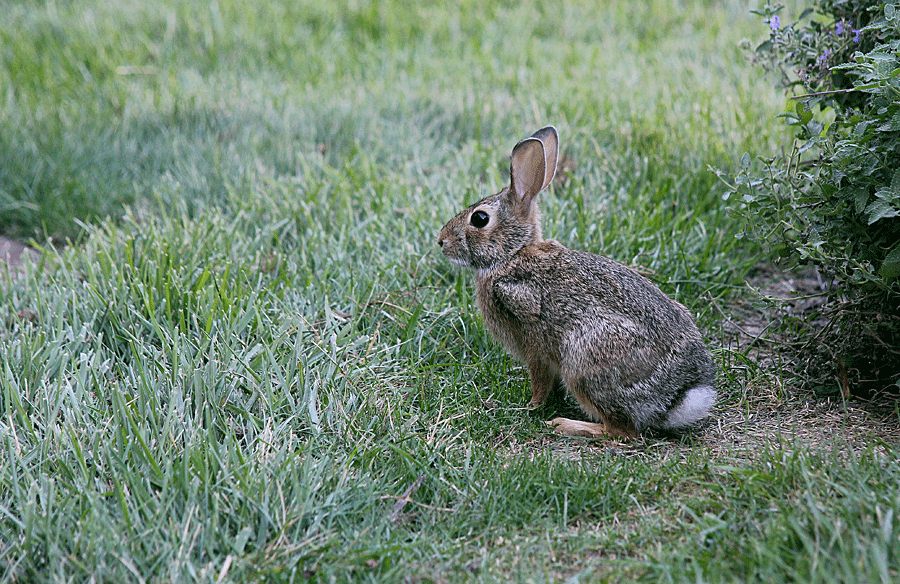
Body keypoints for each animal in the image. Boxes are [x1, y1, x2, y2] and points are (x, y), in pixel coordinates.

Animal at [437, 126, 717, 439]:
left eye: (480, 218)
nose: (441, 241)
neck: (511, 254)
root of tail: (678, 397)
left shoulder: (534, 342)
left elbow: (540, 379)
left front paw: (531, 407)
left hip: (584, 360)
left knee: (621, 432)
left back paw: (567, 425)